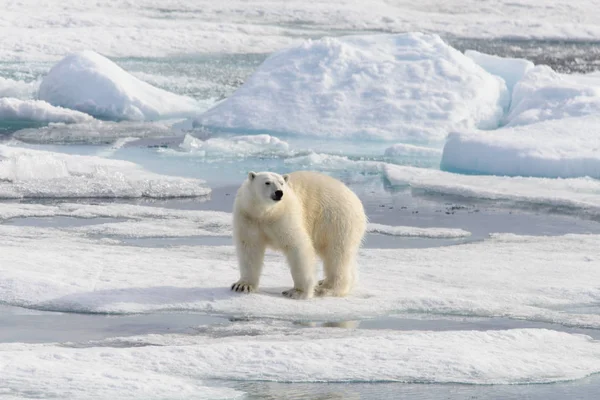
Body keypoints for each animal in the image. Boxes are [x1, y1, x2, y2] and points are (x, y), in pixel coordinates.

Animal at [232, 170, 368, 298]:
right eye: (267, 182)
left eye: (282, 183)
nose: (279, 192)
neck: (266, 213)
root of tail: (356, 199)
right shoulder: (248, 217)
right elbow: (249, 248)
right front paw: (242, 285)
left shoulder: (284, 216)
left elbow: (297, 246)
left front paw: (297, 292)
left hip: (336, 220)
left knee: (336, 254)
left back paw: (327, 288)